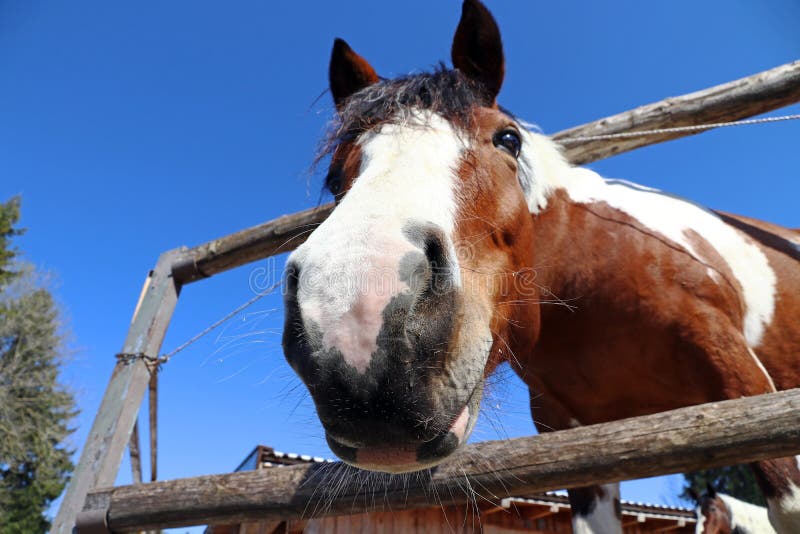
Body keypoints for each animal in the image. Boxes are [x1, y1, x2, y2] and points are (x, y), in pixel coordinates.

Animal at [278, 2, 796, 532]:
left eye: (507, 139)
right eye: (334, 176)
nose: (357, 321)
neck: (588, 271)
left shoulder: (742, 377)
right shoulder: (577, 440)